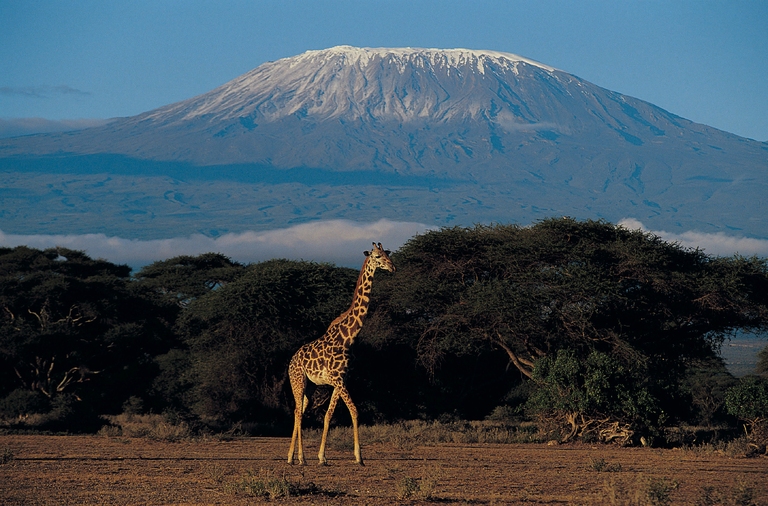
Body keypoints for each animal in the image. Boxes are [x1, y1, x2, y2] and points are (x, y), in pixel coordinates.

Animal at [287, 242, 395, 465]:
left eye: (388, 254)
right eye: (377, 256)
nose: (392, 267)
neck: (349, 337)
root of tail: (290, 362)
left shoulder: (341, 380)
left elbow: (329, 415)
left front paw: (322, 457)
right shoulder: (338, 380)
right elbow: (354, 410)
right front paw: (359, 457)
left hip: (310, 387)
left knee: (298, 411)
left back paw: (291, 457)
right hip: (297, 380)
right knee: (298, 412)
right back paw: (301, 458)